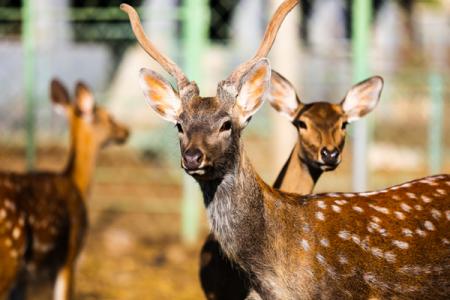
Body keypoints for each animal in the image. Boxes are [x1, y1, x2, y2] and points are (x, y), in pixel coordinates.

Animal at [0, 79, 130, 300]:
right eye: (109, 117)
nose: (126, 131)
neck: (75, 183)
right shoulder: (70, 254)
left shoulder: (27, 277)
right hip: (9, 256)